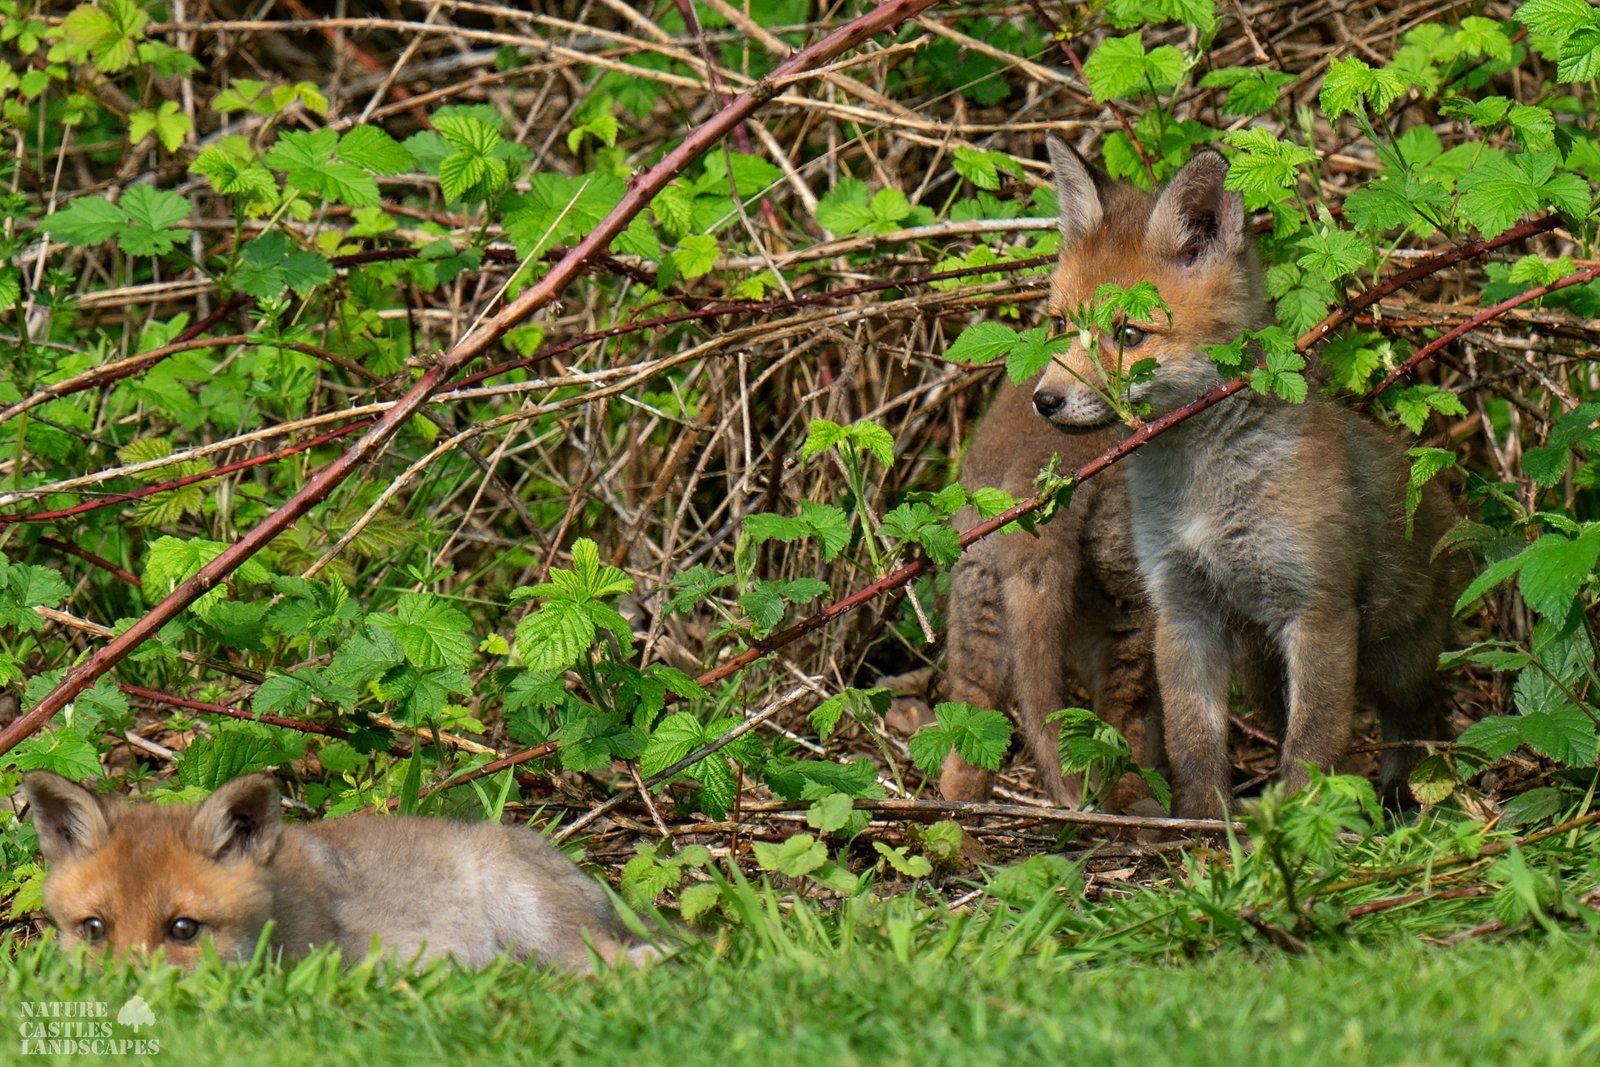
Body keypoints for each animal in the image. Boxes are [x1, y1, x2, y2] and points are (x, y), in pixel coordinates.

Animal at [1029, 137, 1461, 818]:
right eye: (1058, 326)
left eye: (1129, 334)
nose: (1044, 400)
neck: (1207, 497)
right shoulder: (1182, 609)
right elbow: (1194, 742)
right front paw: (1204, 825)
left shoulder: (1317, 608)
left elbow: (1313, 744)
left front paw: (1298, 824)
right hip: (1262, 672)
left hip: (1398, 664)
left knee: (1416, 722)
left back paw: (1404, 796)